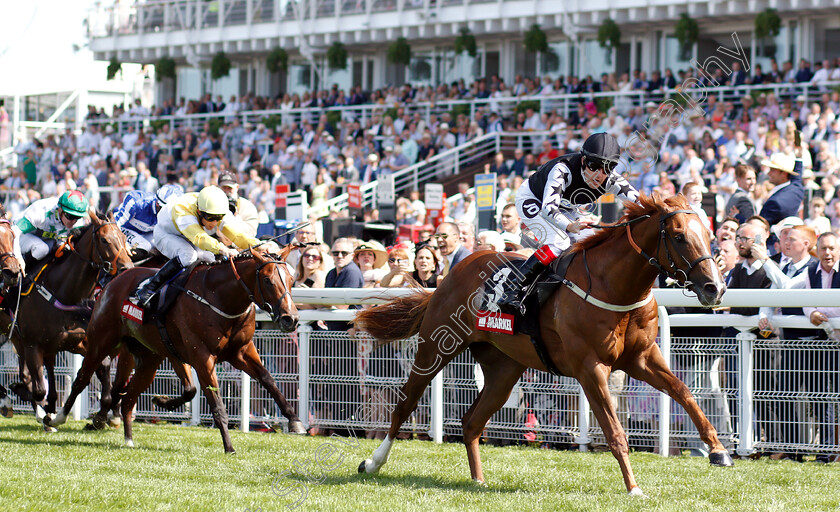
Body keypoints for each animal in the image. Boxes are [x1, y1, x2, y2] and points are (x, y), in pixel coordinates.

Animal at [3, 210, 132, 422]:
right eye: (104, 240)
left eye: (123, 237)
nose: (127, 268)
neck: (63, 292)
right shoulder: (32, 344)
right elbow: (38, 390)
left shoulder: (77, 342)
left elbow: (100, 367)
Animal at [48, 248, 306, 452]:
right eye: (268, 280)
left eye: (291, 279)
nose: (290, 319)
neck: (219, 297)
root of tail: (114, 280)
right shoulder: (202, 357)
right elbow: (216, 403)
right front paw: (229, 447)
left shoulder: (241, 351)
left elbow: (268, 380)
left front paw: (295, 420)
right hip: (101, 341)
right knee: (82, 378)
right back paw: (57, 418)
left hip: (149, 358)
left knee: (129, 396)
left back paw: (128, 437)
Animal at [356, 195, 736, 496]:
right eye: (679, 237)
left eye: (709, 236)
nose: (715, 288)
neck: (614, 286)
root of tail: (452, 274)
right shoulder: (590, 368)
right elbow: (615, 431)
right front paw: (634, 488)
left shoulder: (642, 359)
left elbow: (684, 392)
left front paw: (719, 451)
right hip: (436, 347)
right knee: (405, 404)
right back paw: (372, 463)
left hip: (504, 369)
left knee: (471, 421)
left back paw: (478, 480)